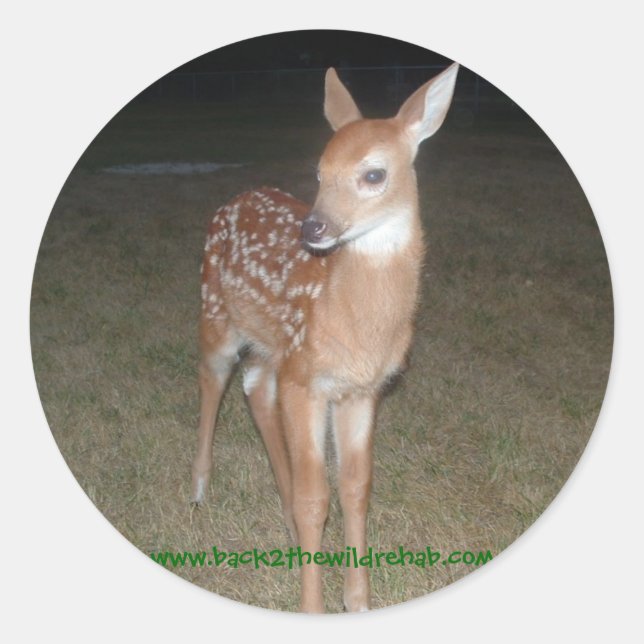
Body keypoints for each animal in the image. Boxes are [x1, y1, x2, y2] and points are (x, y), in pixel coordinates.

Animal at [191, 62, 459, 612]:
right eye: (319, 172)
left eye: (373, 174)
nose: (313, 228)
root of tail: (234, 200)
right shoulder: (307, 380)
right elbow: (317, 497)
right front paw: (312, 606)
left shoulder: (359, 390)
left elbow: (355, 487)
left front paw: (358, 599)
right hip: (216, 312)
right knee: (212, 378)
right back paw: (200, 489)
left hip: (273, 348)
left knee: (254, 388)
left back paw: (289, 524)